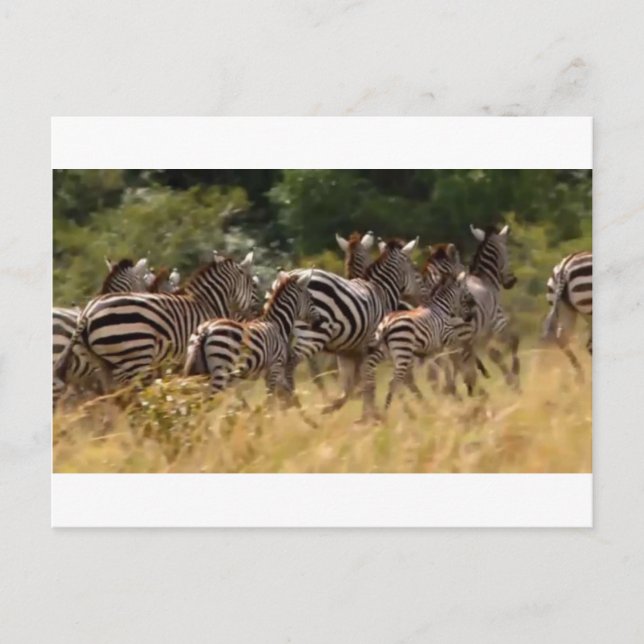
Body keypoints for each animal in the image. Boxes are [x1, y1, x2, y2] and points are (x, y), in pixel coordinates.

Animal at [54, 251, 256, 395]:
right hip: (134, 358)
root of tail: (87, 313)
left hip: (105, 365)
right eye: (253, 286)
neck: (206, 302)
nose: (256, 314)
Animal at [183, 270, 322, 406]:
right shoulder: (275, 367)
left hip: (200, 372)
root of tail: (206, 329)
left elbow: (283, 394)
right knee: (206, 403)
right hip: (220, 371)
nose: (318, 321)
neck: (277, 324)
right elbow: (271, 401)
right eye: (310, 297)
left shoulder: (271, 372)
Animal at [284, 237, 422, 413]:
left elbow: (351, 383)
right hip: (314, 335)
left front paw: (335, 406)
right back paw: (294, 405)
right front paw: (371, 413)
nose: (419, 300)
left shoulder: (347, 353)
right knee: (292, 366)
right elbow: (367, 381)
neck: (381, 291)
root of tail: (292, 274)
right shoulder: (373, 348)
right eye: (415, 268)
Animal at [361, 271, 476, 418]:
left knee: (391, 379)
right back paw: (392, 413)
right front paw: (464, 383)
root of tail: (386, 323)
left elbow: (440, 369)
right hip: (403, 352)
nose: (470, 317)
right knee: (395, 382)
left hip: (388, 353)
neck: (441, 309)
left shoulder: (433, 349)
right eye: (466, 294)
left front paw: (449, 390)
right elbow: (456, 360)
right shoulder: (449, 339)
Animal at [460, 224, 519, 395]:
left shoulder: (482, 336)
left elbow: (494, 354)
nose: (511, 281)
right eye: (508, 252)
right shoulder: (497, 323)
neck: (484, 279)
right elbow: (513, 341)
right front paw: (515, 373)